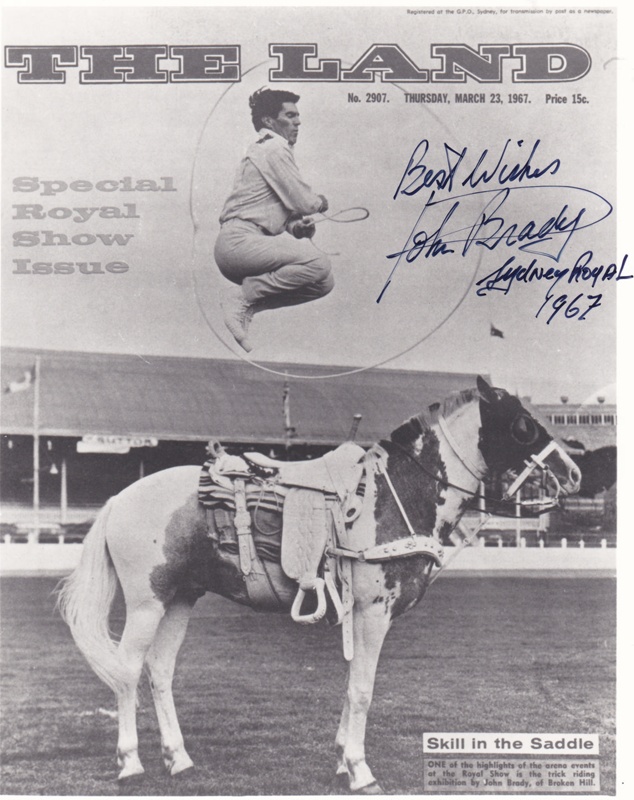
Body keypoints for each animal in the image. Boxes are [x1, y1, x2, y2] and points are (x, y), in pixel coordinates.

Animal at [58, 376, 576, 792]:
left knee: (160, 671)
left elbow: (351, 685)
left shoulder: (363, 615)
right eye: (524, 425)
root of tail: (119, 499)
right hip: (147, 602)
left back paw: (179, 759)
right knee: (127, 671)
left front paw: (344, 761)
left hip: (179, 598)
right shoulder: (373, 612)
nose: (572, 472)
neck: (396, 492)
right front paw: (360, 771)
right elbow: (362, 688)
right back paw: (130, 763)